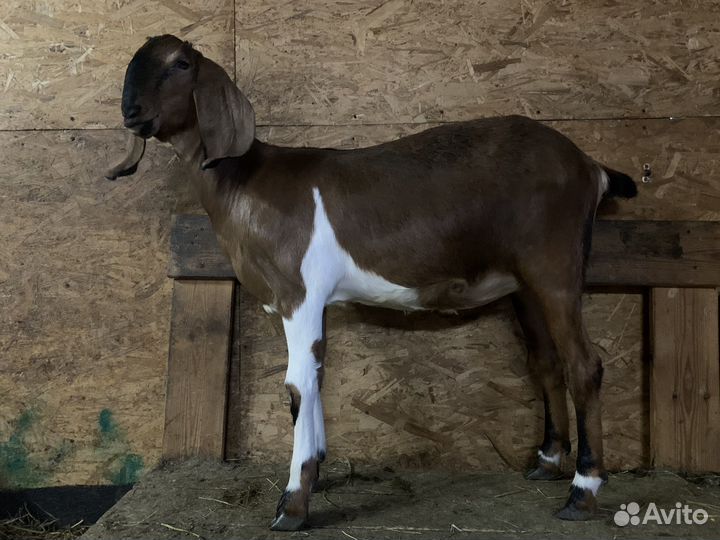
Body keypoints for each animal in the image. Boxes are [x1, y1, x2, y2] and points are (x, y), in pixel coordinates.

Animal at [108, 35, 638, 531]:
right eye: (134, 65)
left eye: (180, 63)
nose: (131, 112)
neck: (246, 182)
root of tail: (589, 166)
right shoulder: (297, 303)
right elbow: (316, 378)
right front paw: (318, 468)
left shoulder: (299, 295)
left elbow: (297, 385)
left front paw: (293, 504)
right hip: (524, 284)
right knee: (546, 362)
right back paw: (547, 461)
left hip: (555, 266)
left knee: (584, 365)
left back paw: (582, 491)